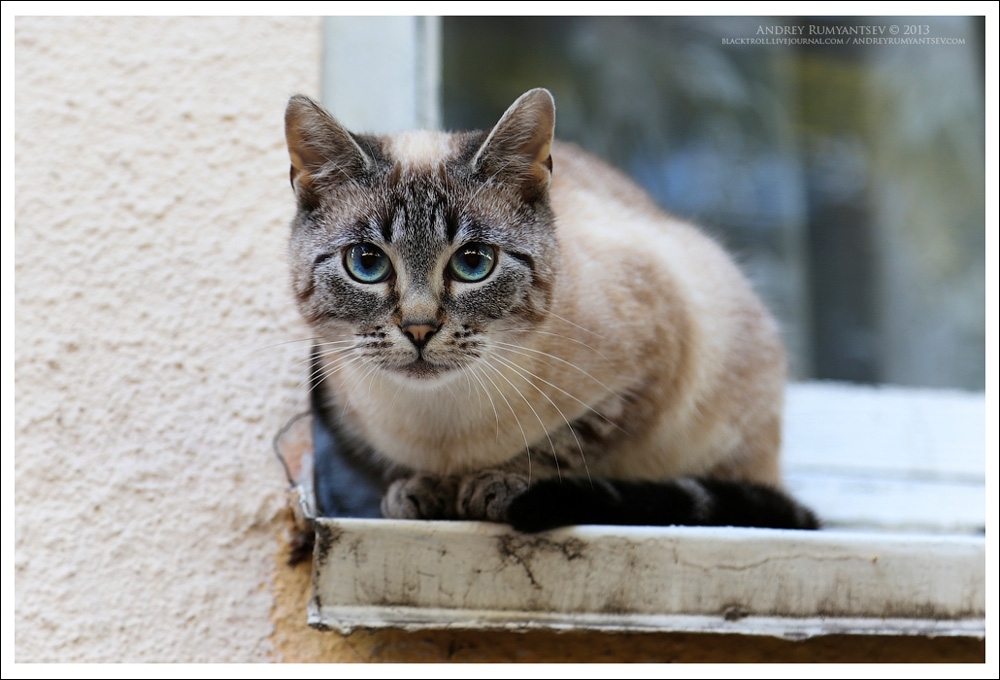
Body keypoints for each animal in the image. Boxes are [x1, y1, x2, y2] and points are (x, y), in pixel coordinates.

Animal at [286, 86, 816, 532]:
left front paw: (498, 486)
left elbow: (560, 447)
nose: (419, 329)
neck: (442, 424)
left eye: (473, 263)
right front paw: (421, 491)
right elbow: (402, 470)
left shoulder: (650, 368)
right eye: (367, 263)